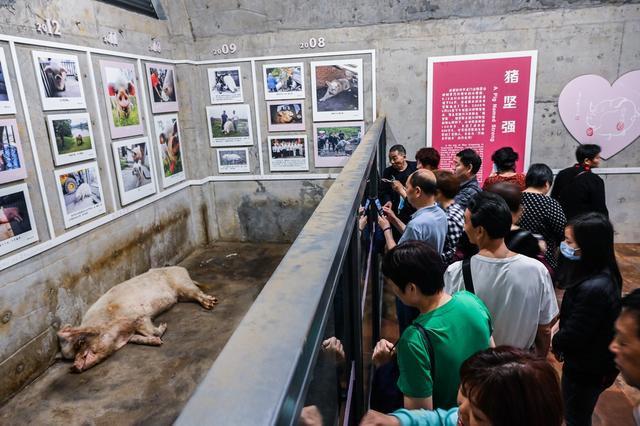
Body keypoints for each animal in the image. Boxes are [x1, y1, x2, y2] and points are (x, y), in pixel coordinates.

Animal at [57, 266, 218, 372]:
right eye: (71, 357)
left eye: (80, 342)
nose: (74, 366)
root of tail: (181, 268)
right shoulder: (130, 334)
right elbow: (140, 339)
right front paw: (157, 342)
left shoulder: (138, 316)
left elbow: (151, 330)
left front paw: (163, 326)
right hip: (181, 294)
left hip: (183, 283)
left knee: (197, 293)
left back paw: (211, 303)